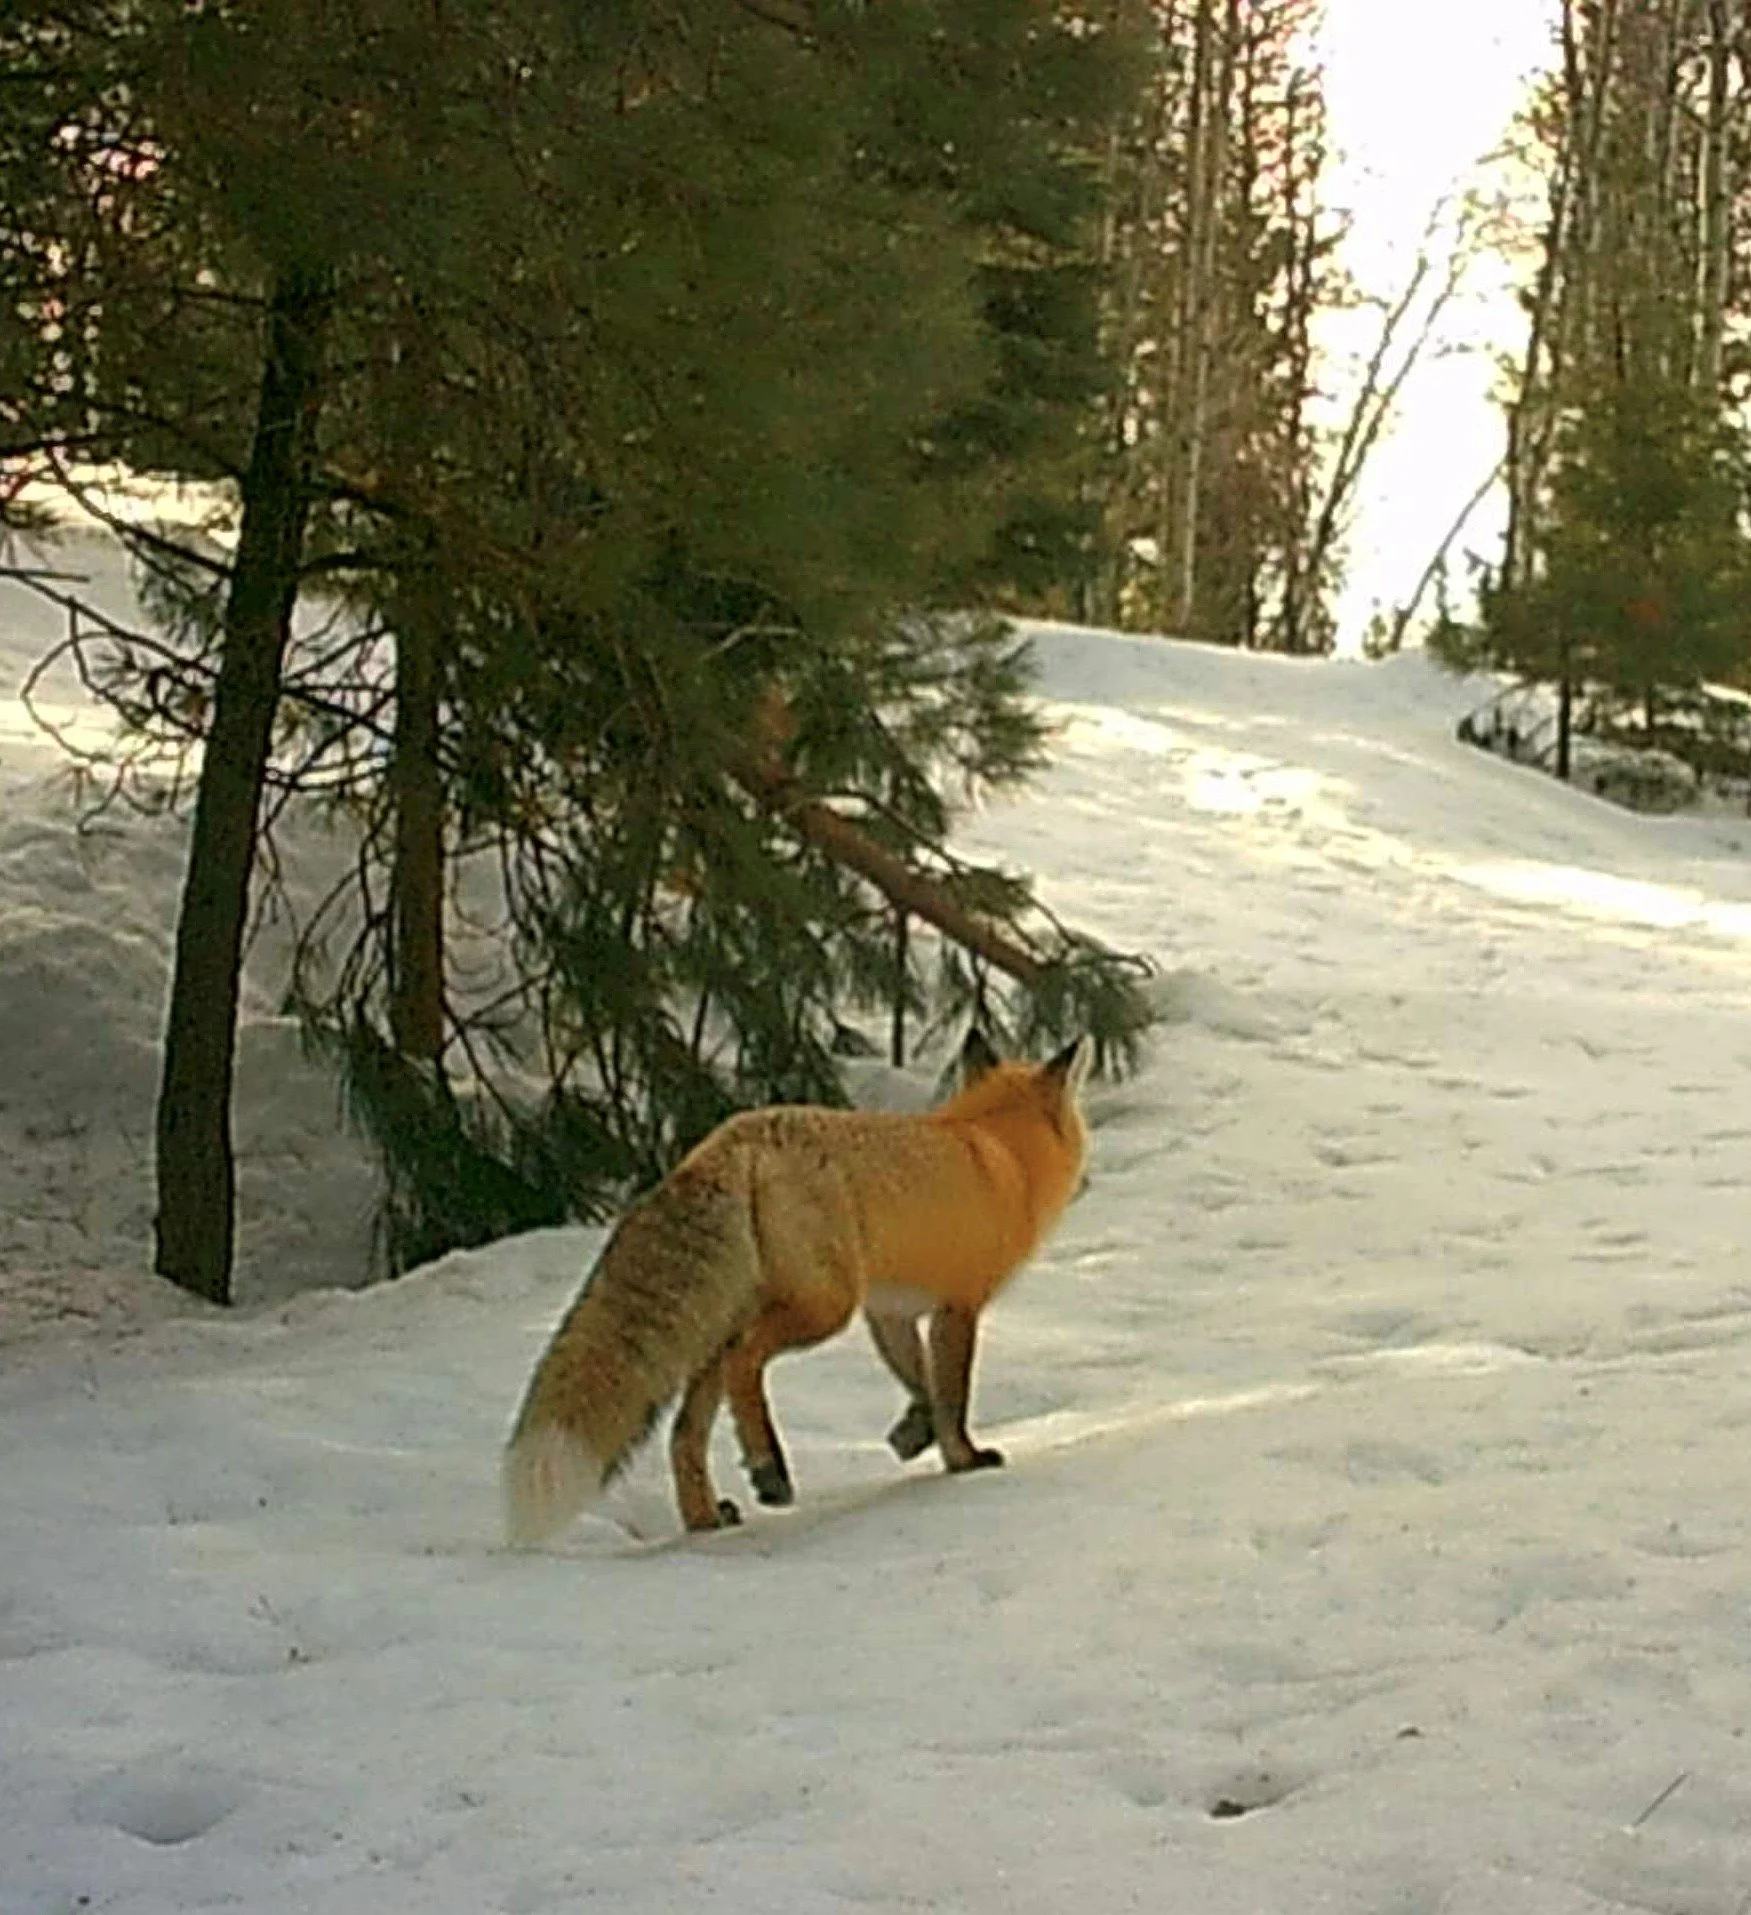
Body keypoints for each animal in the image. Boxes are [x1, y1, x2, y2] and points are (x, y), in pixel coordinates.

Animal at [502, 1028, 1094, 1540]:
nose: (1090, 1179)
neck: (998, 1148)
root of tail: (732, 1139)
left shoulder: (890, 1310)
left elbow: (918, 1380)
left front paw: (913, 1432)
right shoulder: (958, 1307)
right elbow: (952, 1396)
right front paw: (964, 1459)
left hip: (730, 1323)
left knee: (684, 1433)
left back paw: (705, 1517)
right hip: (822, 1309)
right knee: (745, 1364)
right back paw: (769, 1469)